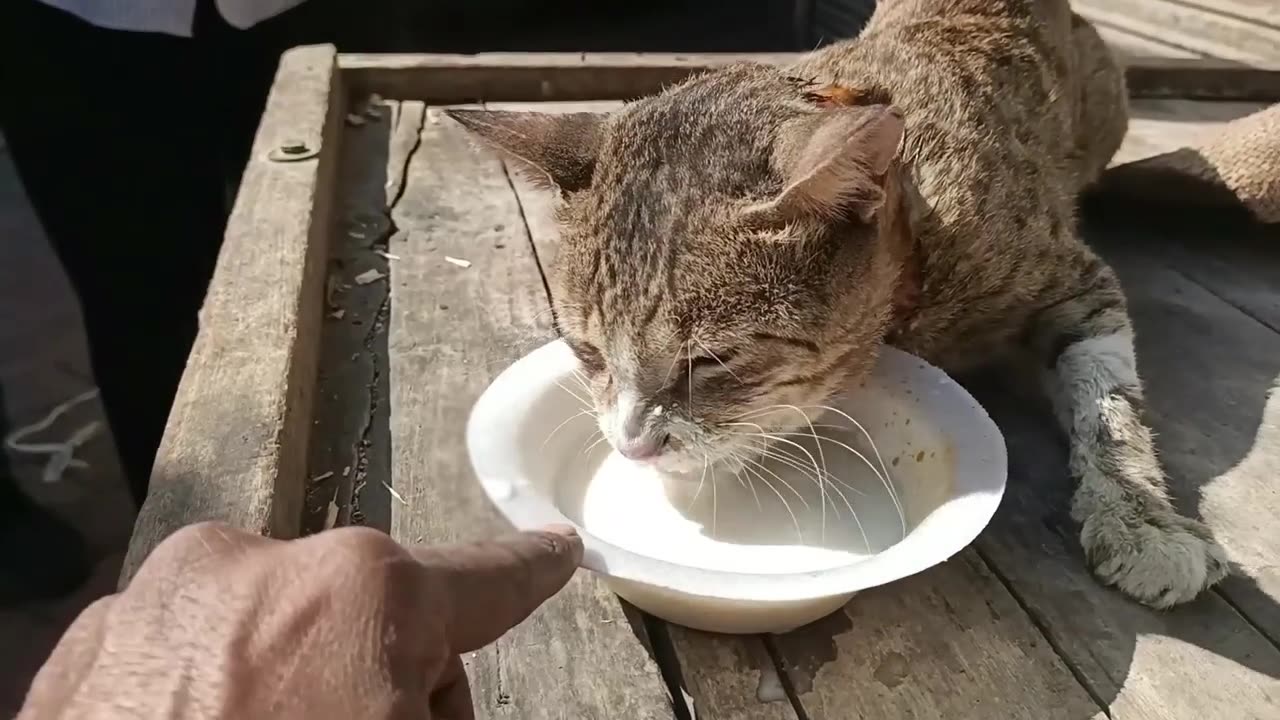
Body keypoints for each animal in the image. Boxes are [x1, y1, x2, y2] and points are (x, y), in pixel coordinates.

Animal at [448, 0, 1228, 604]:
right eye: (585, 351)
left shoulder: (1075, 278)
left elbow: (1109, 404)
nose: (633, 446)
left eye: (714, 361)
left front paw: (1140, 515)